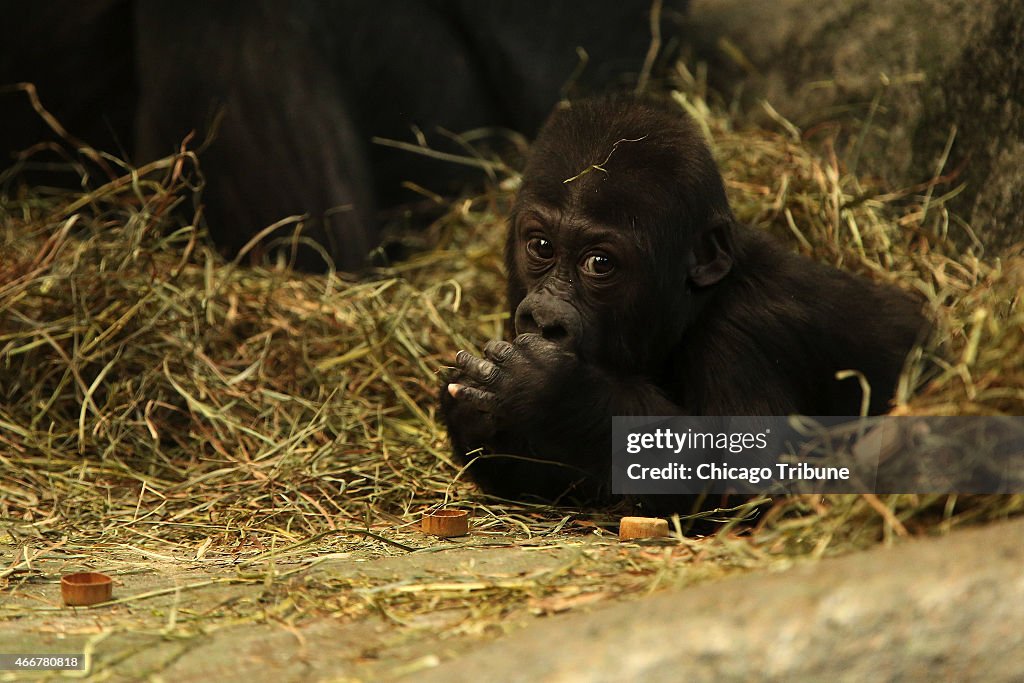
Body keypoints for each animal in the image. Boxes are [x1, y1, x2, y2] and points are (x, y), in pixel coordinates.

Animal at [440, 96, 929, 505]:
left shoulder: (744, 333)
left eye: (599, 263)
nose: (543, 319)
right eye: (541, 246)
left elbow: (746, 482)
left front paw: (555, 394)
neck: (697, 309)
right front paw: (472, 415)